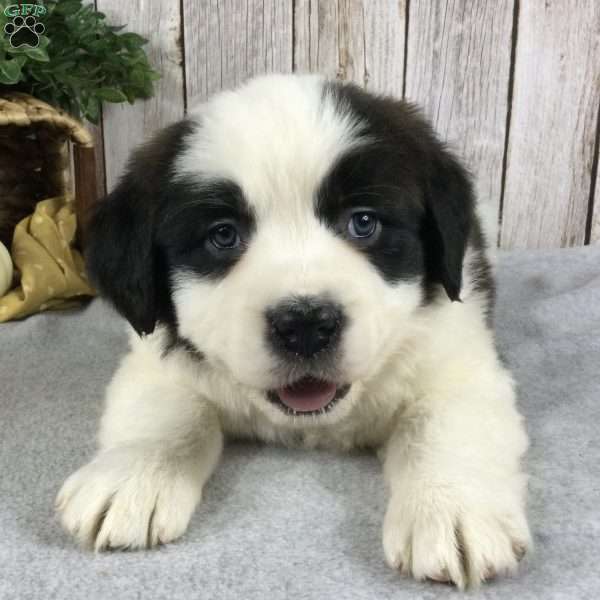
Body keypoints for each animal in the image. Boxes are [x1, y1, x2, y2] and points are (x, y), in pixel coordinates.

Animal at [56, 74, 528, 584]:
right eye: (223, 235)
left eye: (364, 223)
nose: (305, 325)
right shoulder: (156, 360)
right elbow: (165, 417)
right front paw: (130, 477)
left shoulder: (458, 359)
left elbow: (444, 425)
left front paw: (451, 508)